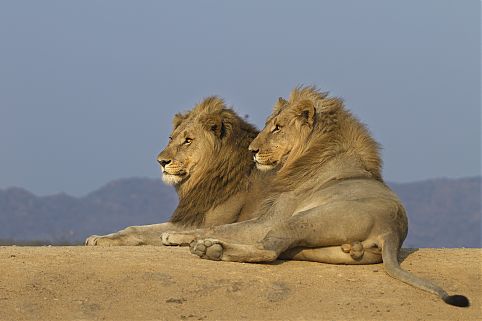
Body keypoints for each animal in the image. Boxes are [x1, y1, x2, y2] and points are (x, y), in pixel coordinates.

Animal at [160, 86, 468, 306]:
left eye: (278, 127)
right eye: (268, 125)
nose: (252, 150)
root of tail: (392, 230)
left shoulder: (266, 220)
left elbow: (216, 227)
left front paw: (176, 235)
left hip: (301, 219)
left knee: (269, 251)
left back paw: (211, 249)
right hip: (329, 247)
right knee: (289, 250)